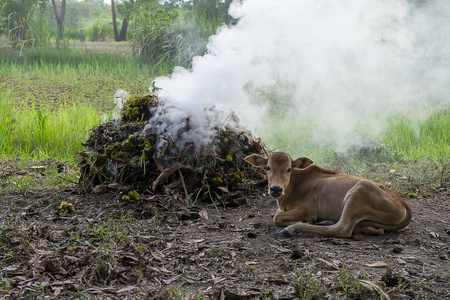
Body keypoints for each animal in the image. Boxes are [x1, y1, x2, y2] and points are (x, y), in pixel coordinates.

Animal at [246, 151, 412, 240]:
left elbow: (277, 217)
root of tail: (402, 202)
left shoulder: (307, 210)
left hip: (358, 192)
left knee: (342, 229)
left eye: (288, 169)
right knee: (375, 229)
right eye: (268, 167)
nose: (276, 189)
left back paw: (293, 228)